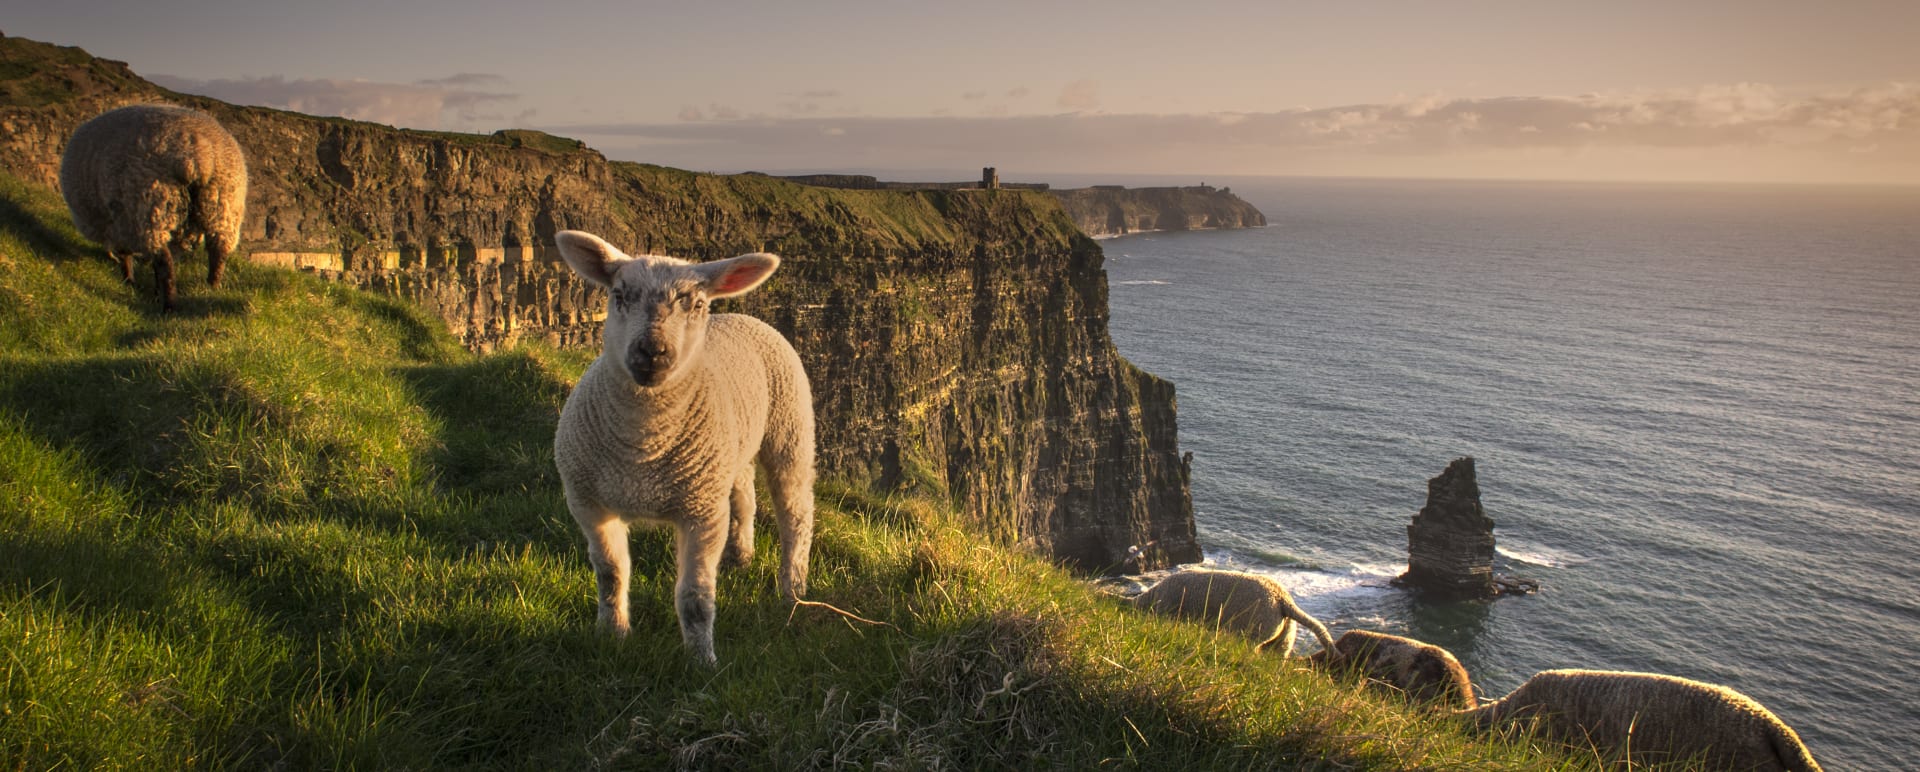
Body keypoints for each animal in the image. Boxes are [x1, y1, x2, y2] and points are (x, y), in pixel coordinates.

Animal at [59, 104, 248, 311]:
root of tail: (200, 152)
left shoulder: (120, 223)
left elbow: (126, 254)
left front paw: (128, 280)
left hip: (152, 205)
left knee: (164, 262)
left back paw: (169, 305)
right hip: (223, 204)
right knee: (217, 253)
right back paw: (211, 288)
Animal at [551, 230, 815, 666]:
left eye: (697, 304)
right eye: (619, 294)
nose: (652, 352)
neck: (643, 447)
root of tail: (740, 315)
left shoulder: (701, 514)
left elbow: (695, 597)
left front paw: (702, 662)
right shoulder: (589, 504)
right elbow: (611, 573)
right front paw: (612, 634)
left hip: (790, 429)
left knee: (795, 512)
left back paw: (792, 588)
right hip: (728, 453)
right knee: (744, 496)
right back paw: (740, 555)